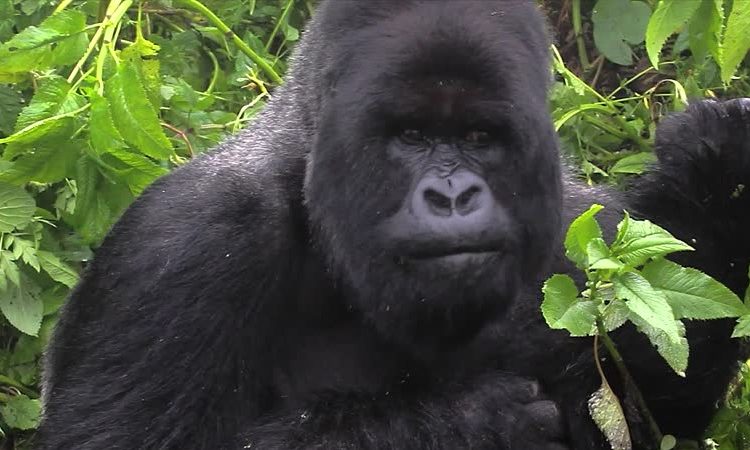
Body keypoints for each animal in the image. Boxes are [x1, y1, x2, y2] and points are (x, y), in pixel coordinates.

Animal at [33, 0, 750, 450]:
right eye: (410, 136)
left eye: (479, 137)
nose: (453, 196)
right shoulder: (189, 242)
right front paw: (466, 423)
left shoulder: (582, 232)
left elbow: (658, 413)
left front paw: (717, 178)